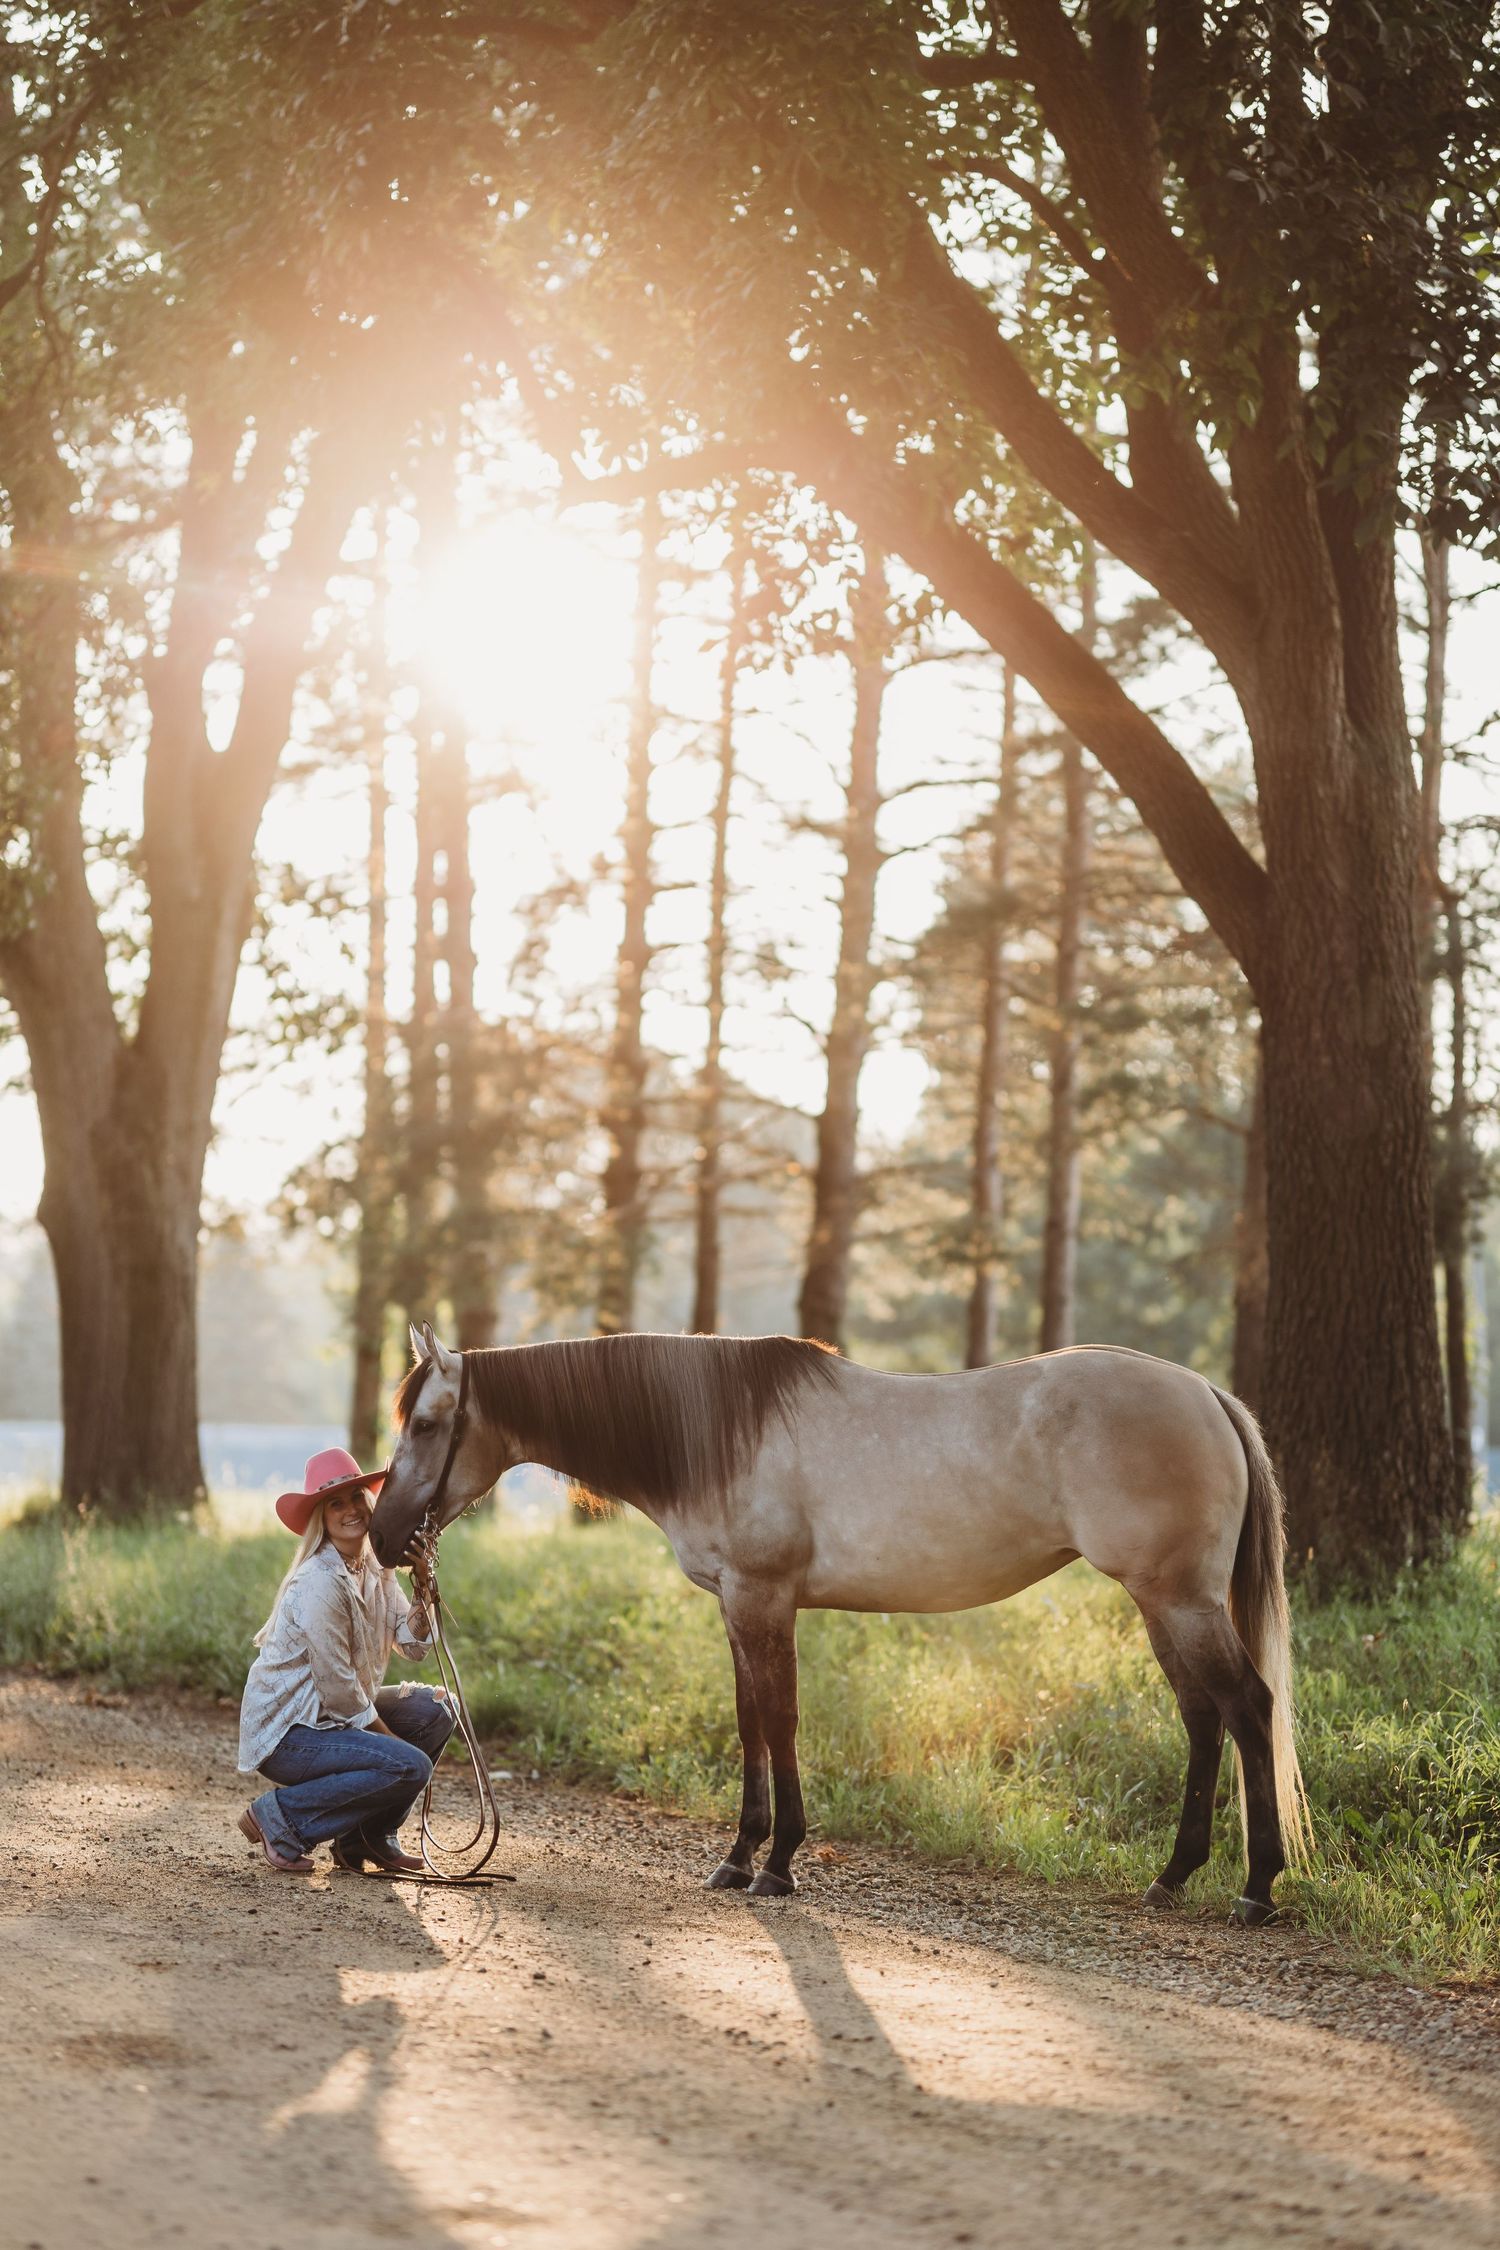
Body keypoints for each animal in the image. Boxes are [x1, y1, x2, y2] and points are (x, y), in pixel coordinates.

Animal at [368, 1323, 1310, 1925]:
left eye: (428, 1422)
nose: (383, 1538)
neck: (719, 1433)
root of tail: (1206, 1394)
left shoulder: (763, 1598)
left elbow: (779, 1720)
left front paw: (777, 1862)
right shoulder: (738, 1605)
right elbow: (750, 1721)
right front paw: (742, 1857)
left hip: (1178, 1598)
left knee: (1248, 1708)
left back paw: (1257, 1887)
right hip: (1162, 1604)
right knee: (1203, 1719)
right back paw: (1174, 1877)